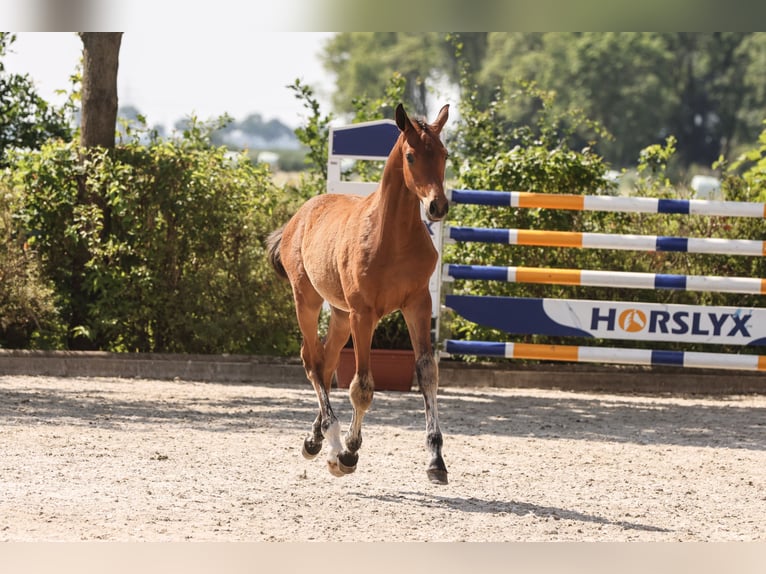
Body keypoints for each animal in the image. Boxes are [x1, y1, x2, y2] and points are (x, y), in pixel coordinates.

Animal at [268, 103, 450, 486]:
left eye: (443, 154)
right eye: (411, 155)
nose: (437, 206)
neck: (391, 237)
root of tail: (299, 216)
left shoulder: (417, 304)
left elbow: (427, 373)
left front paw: (436, 461)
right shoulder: (364, 313)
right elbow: (362, 386)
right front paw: (349, 451)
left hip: (339, 314)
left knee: (325, 363)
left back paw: (316, 438)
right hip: (307, 301)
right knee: (311, 361)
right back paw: (333, 440)